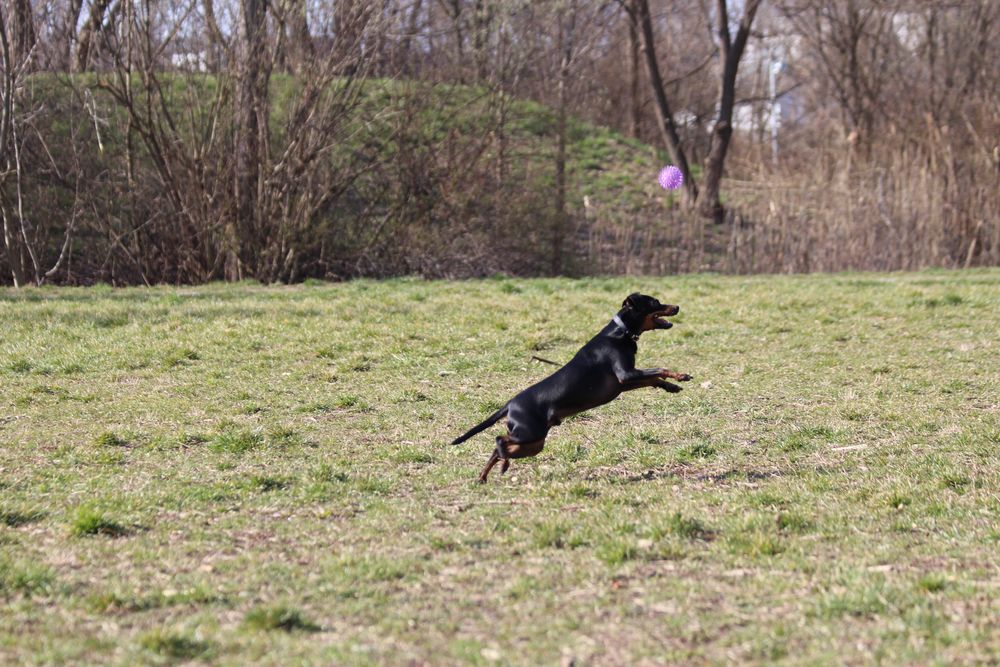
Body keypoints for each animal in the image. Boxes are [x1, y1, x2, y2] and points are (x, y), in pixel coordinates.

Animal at [452, 294, 692, 482]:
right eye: (655, 302)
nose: (678, 307)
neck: (620, 333)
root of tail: (510, 405)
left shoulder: (625, 382)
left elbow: (654, 379)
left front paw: (672, 387)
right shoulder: (626, 375)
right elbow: (660, 368)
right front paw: (681, 375)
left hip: (534, 442)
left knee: (497, 449)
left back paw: (483, 477)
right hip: (530, 433)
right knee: (499, 440)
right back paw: (502, 465)